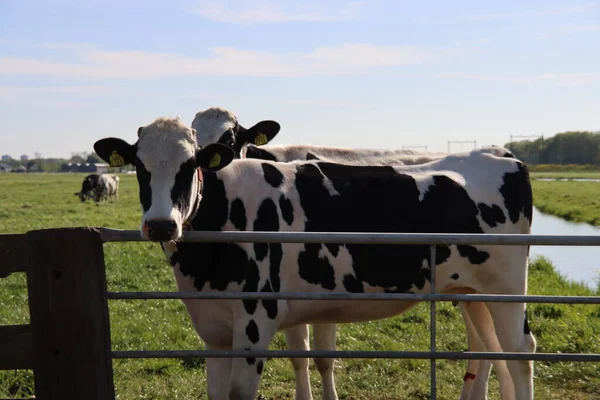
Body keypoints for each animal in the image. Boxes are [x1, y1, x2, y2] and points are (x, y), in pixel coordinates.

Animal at [94, 117, 536, 400]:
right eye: (139, 166)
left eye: (191, 165)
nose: (161, 225)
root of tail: (501, 155)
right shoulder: (214, 328)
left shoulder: (257, 317)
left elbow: (241, 392)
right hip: (471, 291)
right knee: (487, 348)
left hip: (507, 288)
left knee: (520, 351)